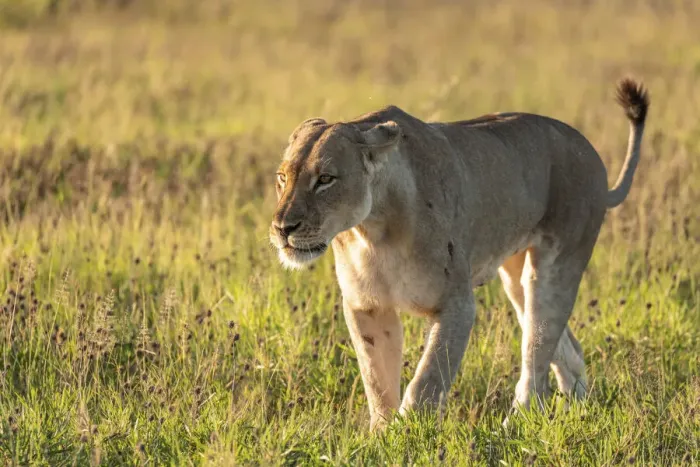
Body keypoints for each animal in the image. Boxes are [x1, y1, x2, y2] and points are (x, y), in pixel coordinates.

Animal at [269, 79, 648, 430]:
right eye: (282, 178)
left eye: (325, 179)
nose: (282, 227)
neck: (374, 230)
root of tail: (589, 151)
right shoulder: (368, 307)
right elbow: (377, 381)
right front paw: (381, 436)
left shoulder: (457, 304)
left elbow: (427, 380)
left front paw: (408, 434)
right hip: (515, 278)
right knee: (568, 352)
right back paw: (578, 415)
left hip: (555, 268)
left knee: (536, 356)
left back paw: (513, 428)